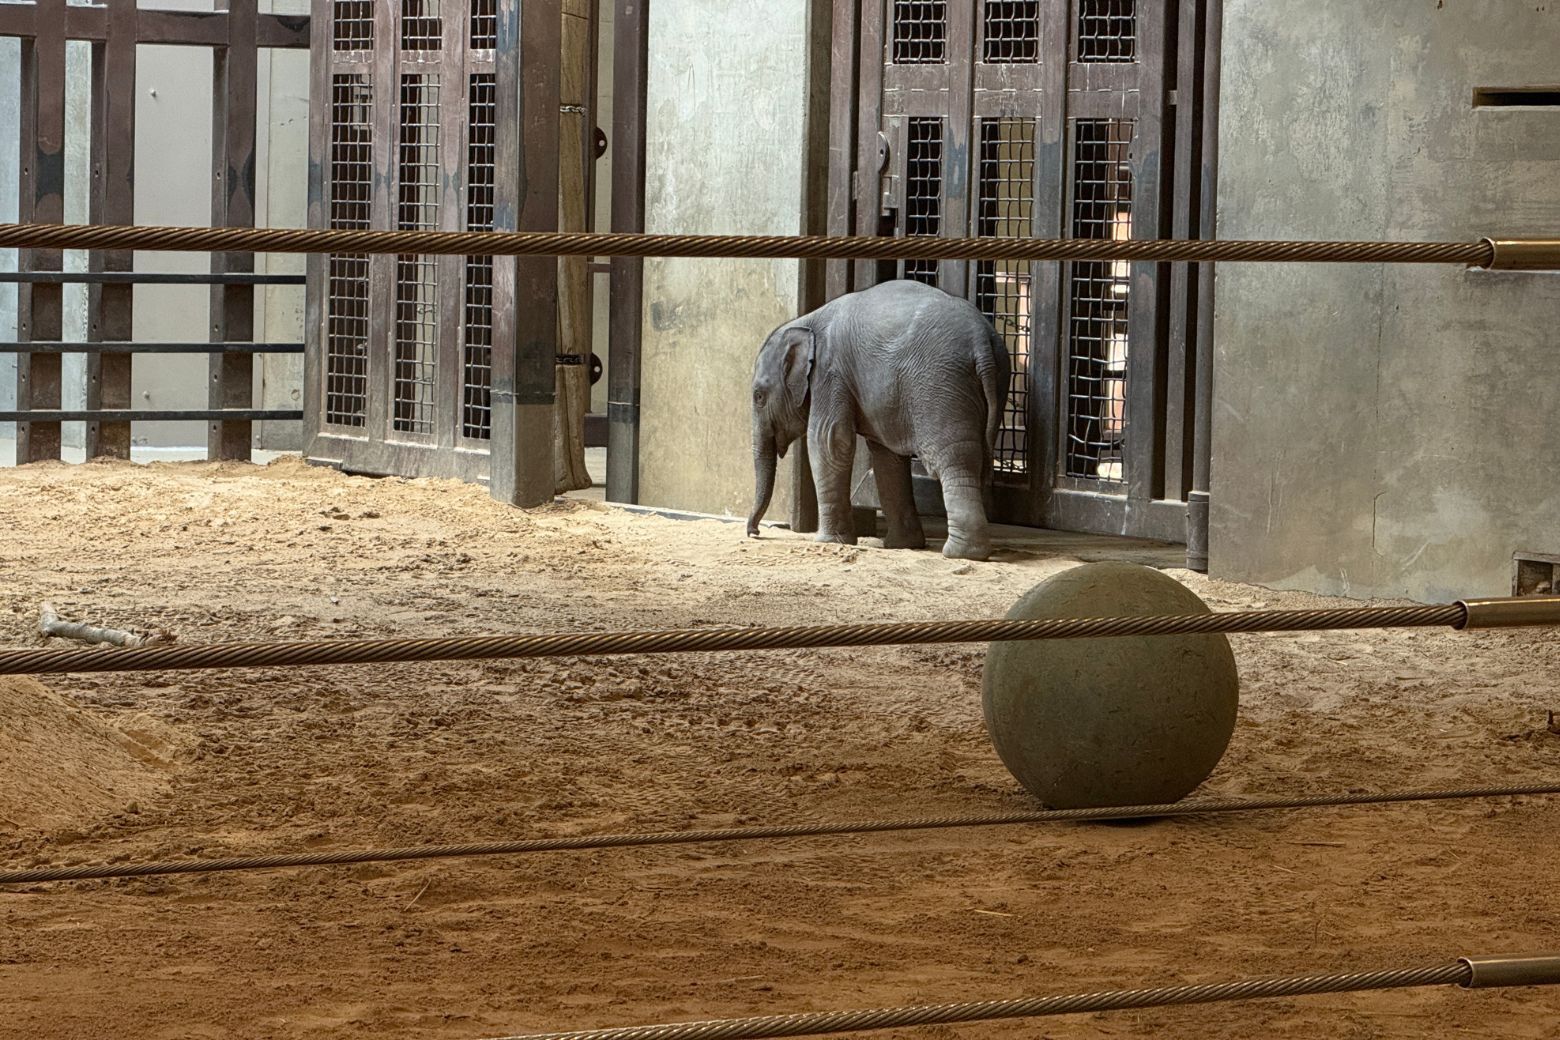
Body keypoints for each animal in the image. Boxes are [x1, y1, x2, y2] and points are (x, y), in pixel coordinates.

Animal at [746, 279, 1011, 561]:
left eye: (759, 396)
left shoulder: (830, 373)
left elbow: (829, 441)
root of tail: (982, 342)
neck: (806, 320)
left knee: (953, 460)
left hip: (941, 388)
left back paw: (960, 553)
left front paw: (829, 541)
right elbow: (887, 457)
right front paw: (902, 545)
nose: (755, 532)